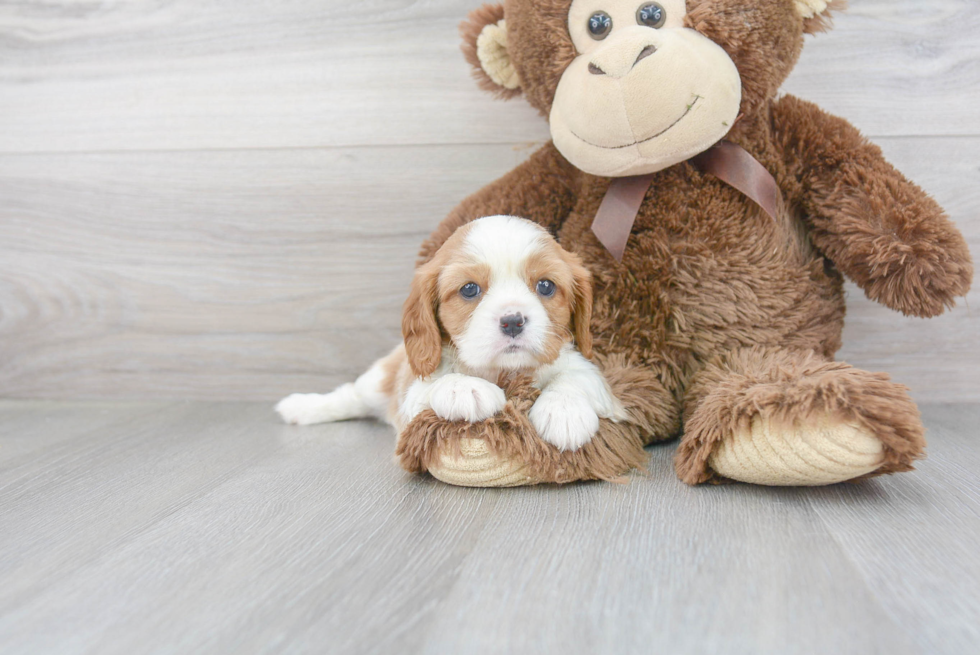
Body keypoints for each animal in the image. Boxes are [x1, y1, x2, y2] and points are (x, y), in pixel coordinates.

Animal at [280, 215, 624, 452]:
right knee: (350, 395)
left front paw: (565, 411)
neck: (501, 372)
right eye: (469, 289)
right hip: (377, 379)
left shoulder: (586, 369)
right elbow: (440, 381)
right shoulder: (413, 398)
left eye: (546, 286)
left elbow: (576, 378)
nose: (513, 321)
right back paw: (301, 407)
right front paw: (465, 389)